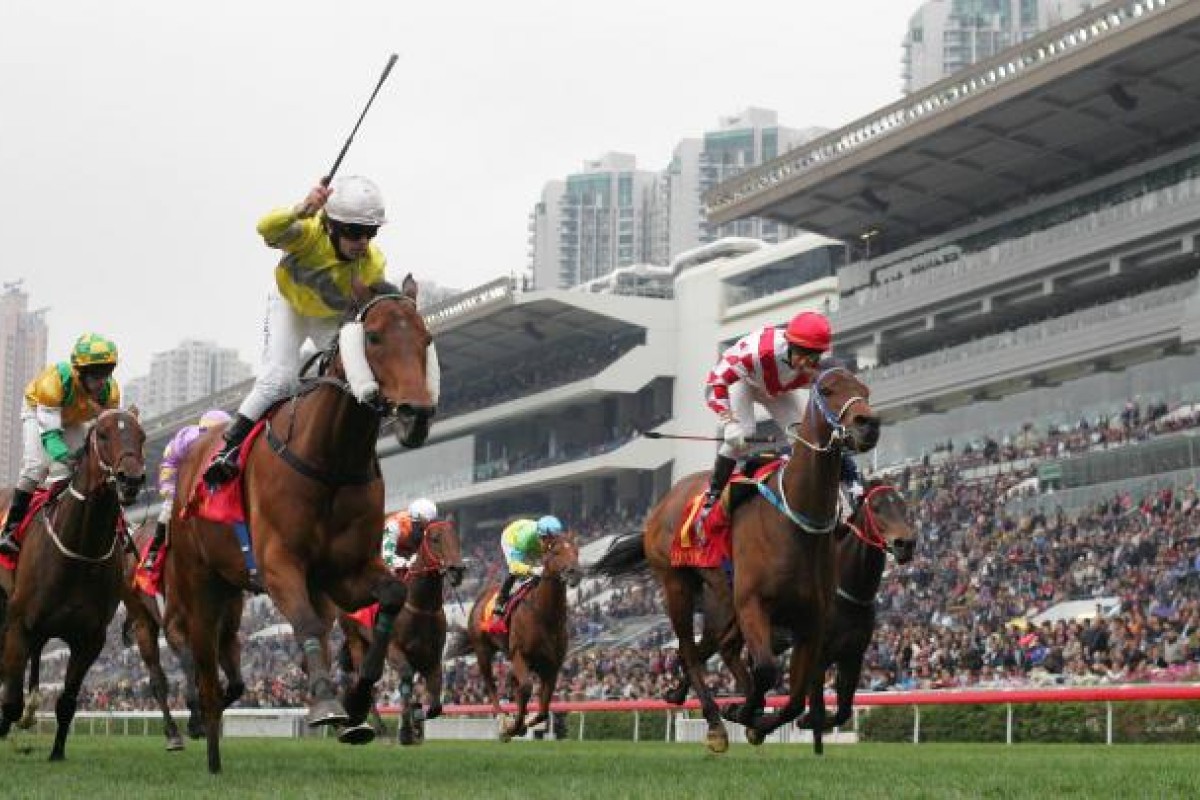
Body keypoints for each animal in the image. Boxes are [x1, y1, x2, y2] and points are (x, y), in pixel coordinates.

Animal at [0, 410, 145, 762]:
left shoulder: (89, 638)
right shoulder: (19, 623)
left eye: (142, 436)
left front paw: (56, 753)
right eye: (103, 434)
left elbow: (66, 702)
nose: (131, 480)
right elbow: (10, 703)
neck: (81, 549)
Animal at [166, 278, 434, 772]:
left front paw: (356, 702)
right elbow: (305, 623)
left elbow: (391, 596)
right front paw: (328, 704)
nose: (416, 414)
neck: (330, 460)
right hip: (198, 583)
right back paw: (208, 742)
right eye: (373, 337)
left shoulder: (345, 572)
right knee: (204, 662)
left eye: (426, 339)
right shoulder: (277, 563)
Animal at [343, 520, 468, 743]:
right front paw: (406, 731)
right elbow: (407, 678)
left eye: (456, 537)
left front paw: (417, 716)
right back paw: (377, 728)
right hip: (355, 639)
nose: (457, 570)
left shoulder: (432, 657)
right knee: (363, 677)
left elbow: (436, 706)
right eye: (435, 538)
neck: (421, 607)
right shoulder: (394, 649)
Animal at [458, 532, 580, 743]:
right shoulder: (519, 655)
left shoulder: (552, 665)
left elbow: (543, 709)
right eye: (556, 551)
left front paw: (525, 721)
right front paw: (513, 726)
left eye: (576, 550)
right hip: (483, 651)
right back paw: (502, 719)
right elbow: (526, 688)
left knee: (512, 683)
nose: (575, 573)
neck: (545, 615)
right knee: (491, 684)